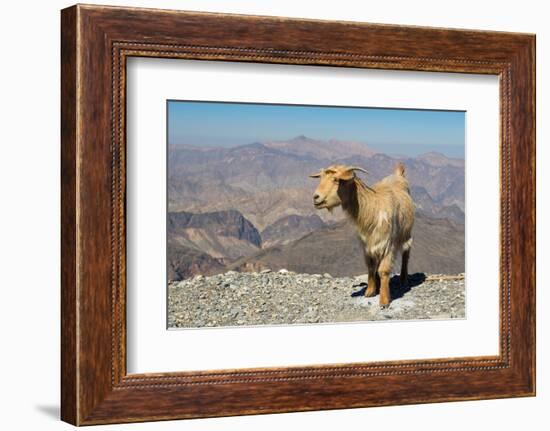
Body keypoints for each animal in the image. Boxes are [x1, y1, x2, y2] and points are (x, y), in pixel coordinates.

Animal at [312, 163, 416, 308]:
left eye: (336, 180)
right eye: (321, 178)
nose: (315, 197)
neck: (372, 209)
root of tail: (398, 175)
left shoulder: (388, 244)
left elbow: (384, 270)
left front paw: (384, 300)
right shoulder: (366, 244)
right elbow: (371, 266)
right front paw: (370, 291)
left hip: (406, 234)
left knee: (406, 253)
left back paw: (403, 278)